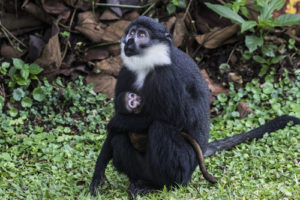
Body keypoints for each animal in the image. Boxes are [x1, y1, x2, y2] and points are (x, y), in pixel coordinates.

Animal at [89, 16, 300, 198]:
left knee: (160, 128)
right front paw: (98, 173)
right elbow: (115, 129)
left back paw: (162, 185)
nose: (130, 41)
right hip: (142, 168)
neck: (148, 65)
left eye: (142, 34)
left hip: (185, 164)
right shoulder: (125, 73)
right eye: (131, 32)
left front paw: (117, 122)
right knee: (120, 138)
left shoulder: (169, 77)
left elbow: (178, 119)